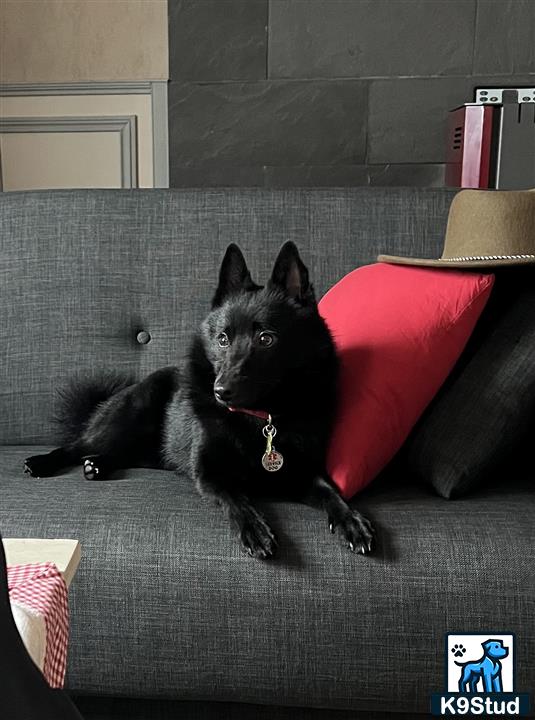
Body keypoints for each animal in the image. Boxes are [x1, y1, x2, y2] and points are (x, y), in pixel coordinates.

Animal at [24, 242, 372, 556]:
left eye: (266, 339)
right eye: (223, 339)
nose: (220, 392)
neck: (261, 418)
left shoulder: (302, 472)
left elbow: (330, 492)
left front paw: (351, 521)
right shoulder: (210, 473)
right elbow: (238, 500)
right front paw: (255, 529)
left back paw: (98, 465)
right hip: (130, 415)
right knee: (79, 444)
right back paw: (44, 462)